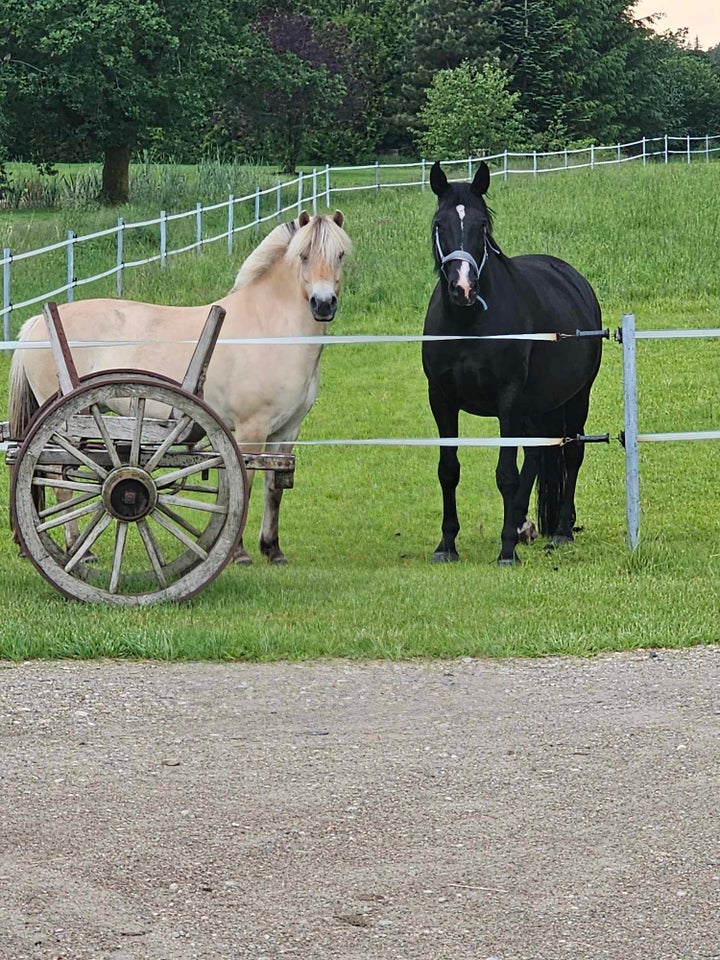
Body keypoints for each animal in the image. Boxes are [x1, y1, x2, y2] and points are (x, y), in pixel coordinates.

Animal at [8, 210, 352, 564]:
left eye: (340, 255)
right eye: (304, 256)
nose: (323, 304)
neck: (268, 330)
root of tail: (36, 322)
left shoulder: (287, 431)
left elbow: (274, 487)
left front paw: (272, 549)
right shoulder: (250, 430)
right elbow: (245, 482)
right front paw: (238, 553)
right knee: (57, 478)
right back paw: (79, 549)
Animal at [422, 162, 600, 568]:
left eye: (482, 226)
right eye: (439, 224)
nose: (463, 288)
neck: (468, 324)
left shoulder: (507, 399)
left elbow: (506, 473)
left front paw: (506, 551)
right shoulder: (441, 400)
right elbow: (448, 470)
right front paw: (447, 544)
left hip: (576, 398)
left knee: (571, 455)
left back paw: (560, 530)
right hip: (534, 408)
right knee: (535, 454)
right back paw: (521, 524)